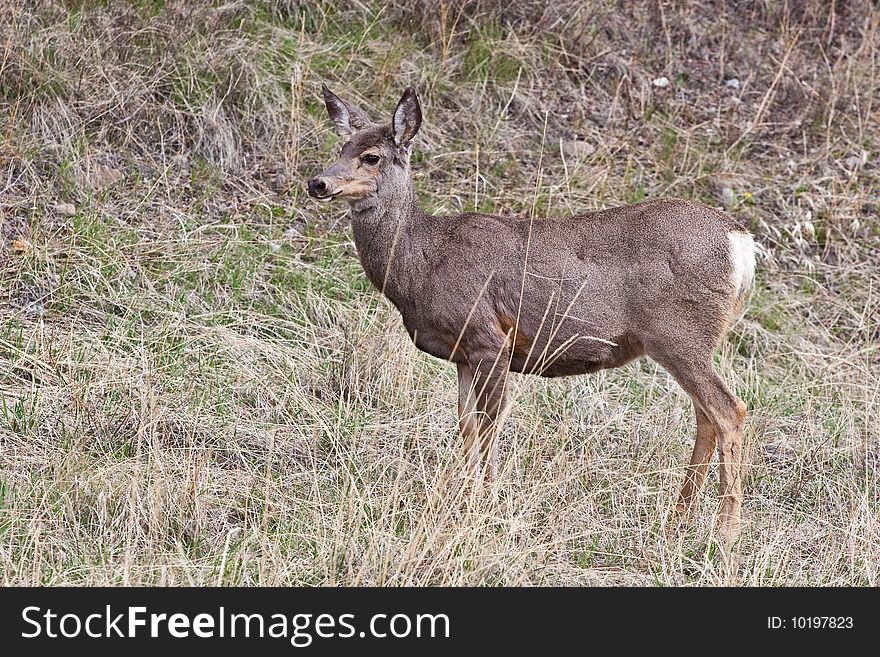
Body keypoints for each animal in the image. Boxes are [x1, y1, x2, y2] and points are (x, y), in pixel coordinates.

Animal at [306, 83, 752, 540]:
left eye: (371, 156)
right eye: (342, 146)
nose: (317, 182)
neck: (422, 263)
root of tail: (741, 242)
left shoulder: (489, 338)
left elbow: (489, 425)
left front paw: (485, 502)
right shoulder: (462, 354)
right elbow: (466, 425)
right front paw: (463, 495)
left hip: (680, 334)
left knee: (729, 410)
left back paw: (726, 532)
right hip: (692, 341)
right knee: (706, 415)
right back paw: (680, 516)